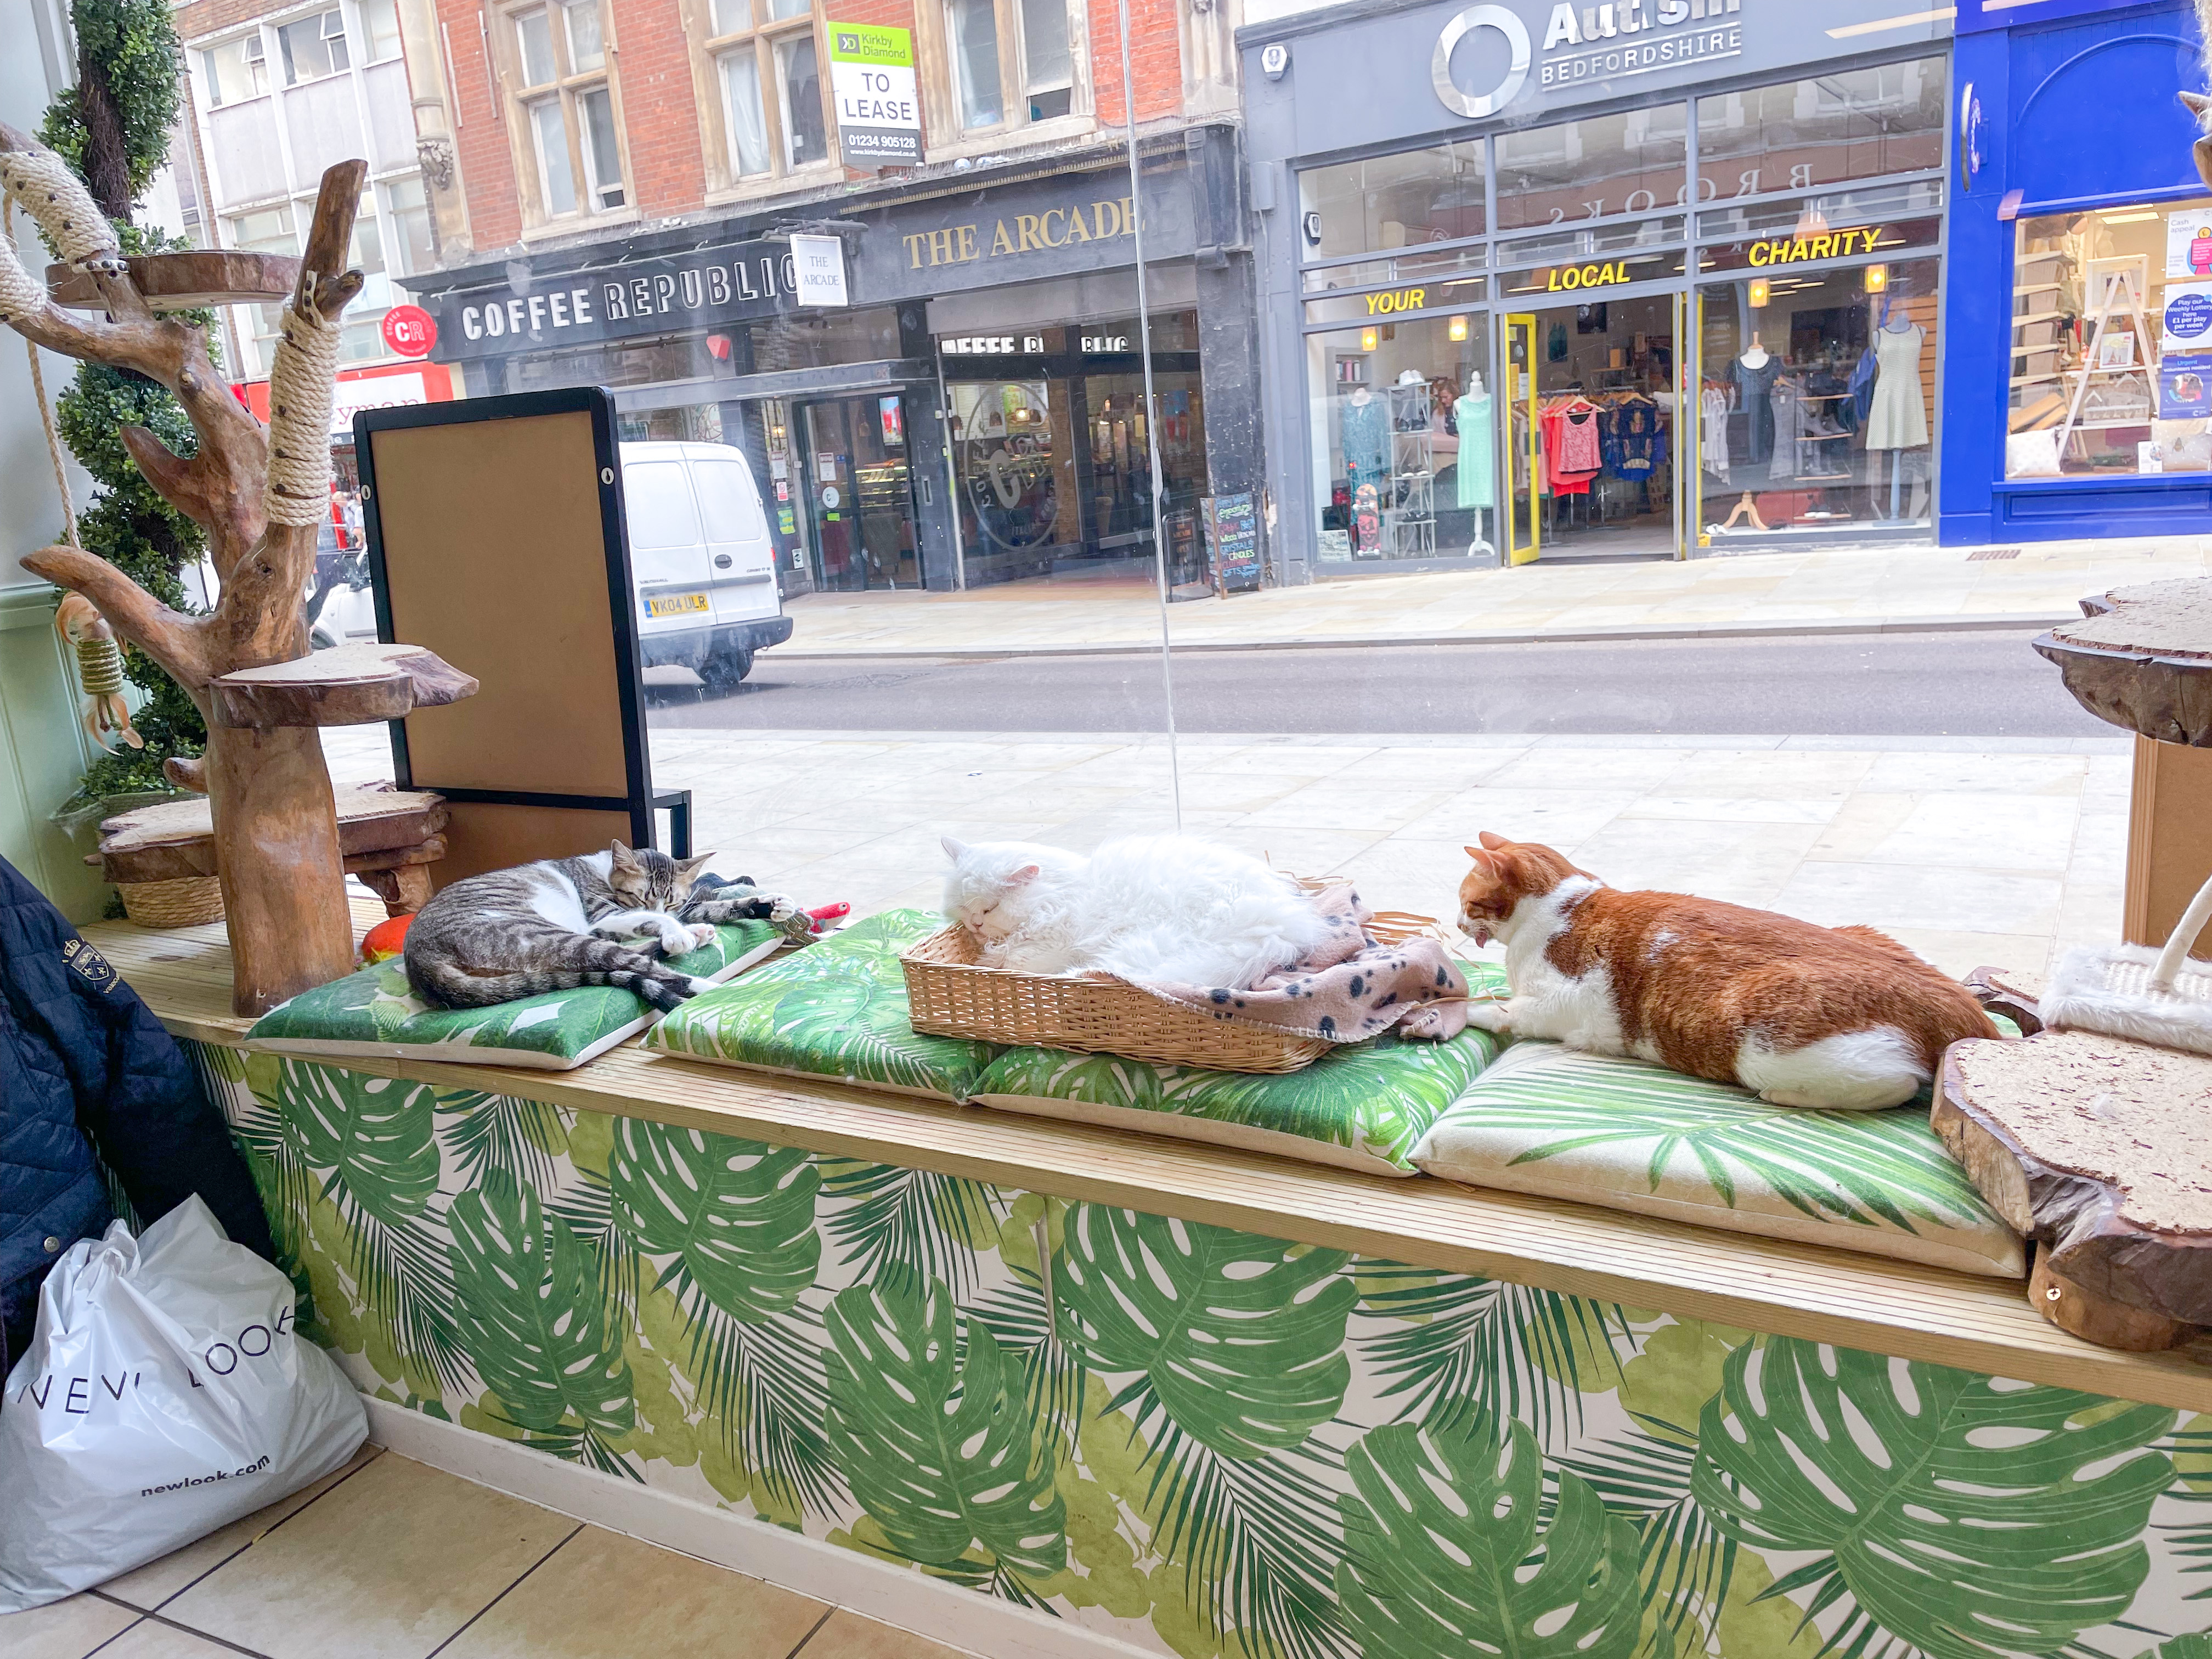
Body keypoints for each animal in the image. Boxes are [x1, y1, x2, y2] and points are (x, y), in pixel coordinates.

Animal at [407, 845, 725, 1013]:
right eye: (640, 898)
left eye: (673, 902)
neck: (603, 871)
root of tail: (420, 962)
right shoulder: (602, 917)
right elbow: (647, 919)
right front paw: (677, 933)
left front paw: (690, 925)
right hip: (548, 936)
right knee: (644, 968)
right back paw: (720, 989)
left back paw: (698, 935)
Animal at [933, 836, 1327, 995]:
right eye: (964, 907)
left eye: (990, 908)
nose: (975, 925)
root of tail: (1282, 928)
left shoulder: (1052, 946)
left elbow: (1017, 960)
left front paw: (993, 958)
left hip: (1138, 946)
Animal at [1460, 832, 1999, 1119]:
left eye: (1465, 902)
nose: (1460, 924)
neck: (1563, 905)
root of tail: (1967, 1013)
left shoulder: (1558, 1003)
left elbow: (1504, 1011)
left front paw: (1458, 1009)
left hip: (1765, 1046)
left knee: (1900, 1086)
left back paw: (1785, 1096)